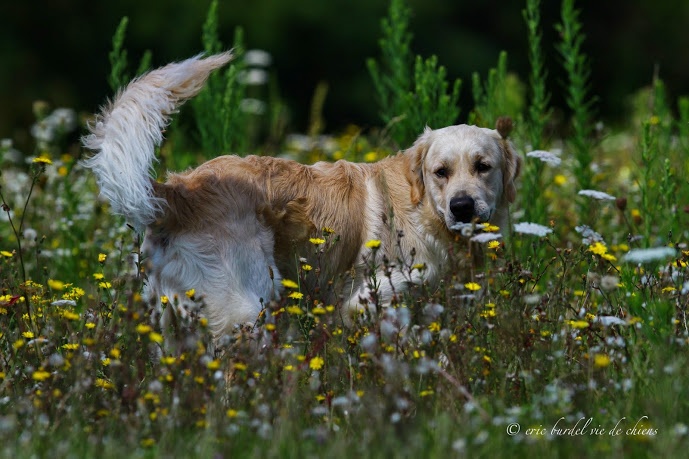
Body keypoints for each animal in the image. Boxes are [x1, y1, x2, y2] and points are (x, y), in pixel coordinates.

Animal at [82, 53, 516, 342]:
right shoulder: (372, 299)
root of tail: (179, 190)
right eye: (440, 172)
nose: (463, 206)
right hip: (247, 309)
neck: (423, 209)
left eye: (483, 166)